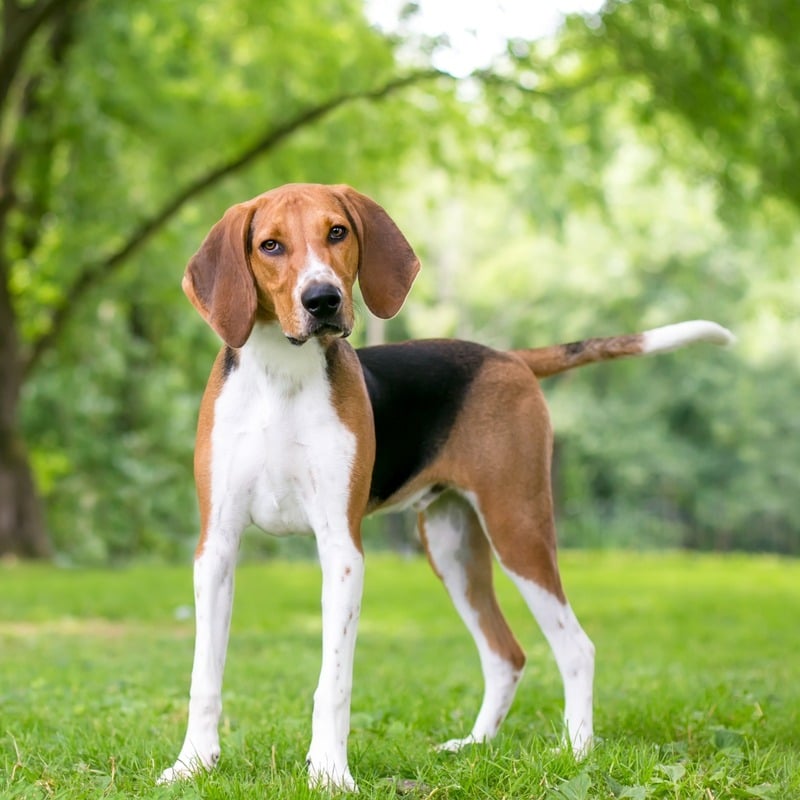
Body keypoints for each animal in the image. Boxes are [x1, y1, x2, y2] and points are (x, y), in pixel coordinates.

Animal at [159, 181, 736, 788]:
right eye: (270, 245)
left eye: (336, 232)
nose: (323, 300)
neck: (280, 378)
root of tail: (507, 357)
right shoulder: (216, 547)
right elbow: (204, 676)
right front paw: (192, 764)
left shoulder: (341, 550)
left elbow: (333, 681)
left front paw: (330, 773)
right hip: (453, 547)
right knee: (506, 654)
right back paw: (476, 747)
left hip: (517, 528)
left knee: (576, 647)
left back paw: (576, 753)